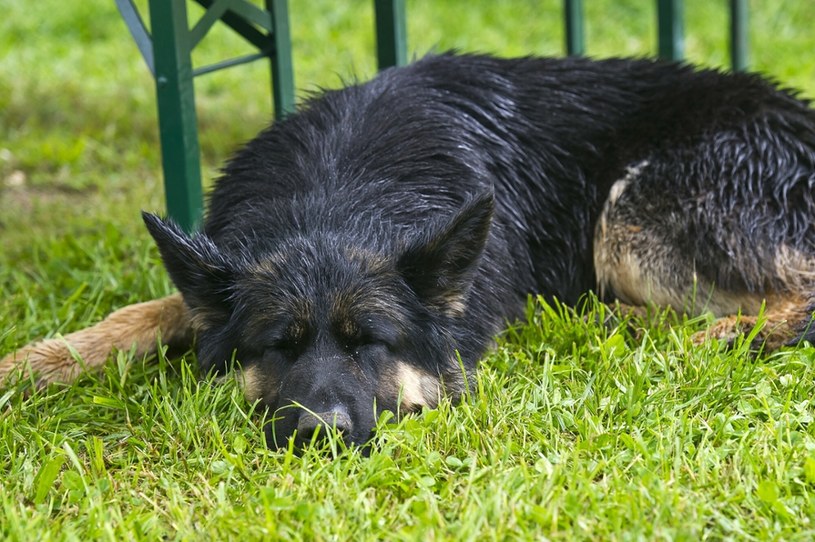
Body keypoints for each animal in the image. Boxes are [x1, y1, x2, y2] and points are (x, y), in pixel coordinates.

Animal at [1, 51, 815, 450]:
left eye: (372, 342)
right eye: (277, 346)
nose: (318, 436)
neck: (339, 191)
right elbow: (146, 309)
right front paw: (38, 362)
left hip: (630, 216)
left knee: (795, 293)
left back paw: (717, 334)